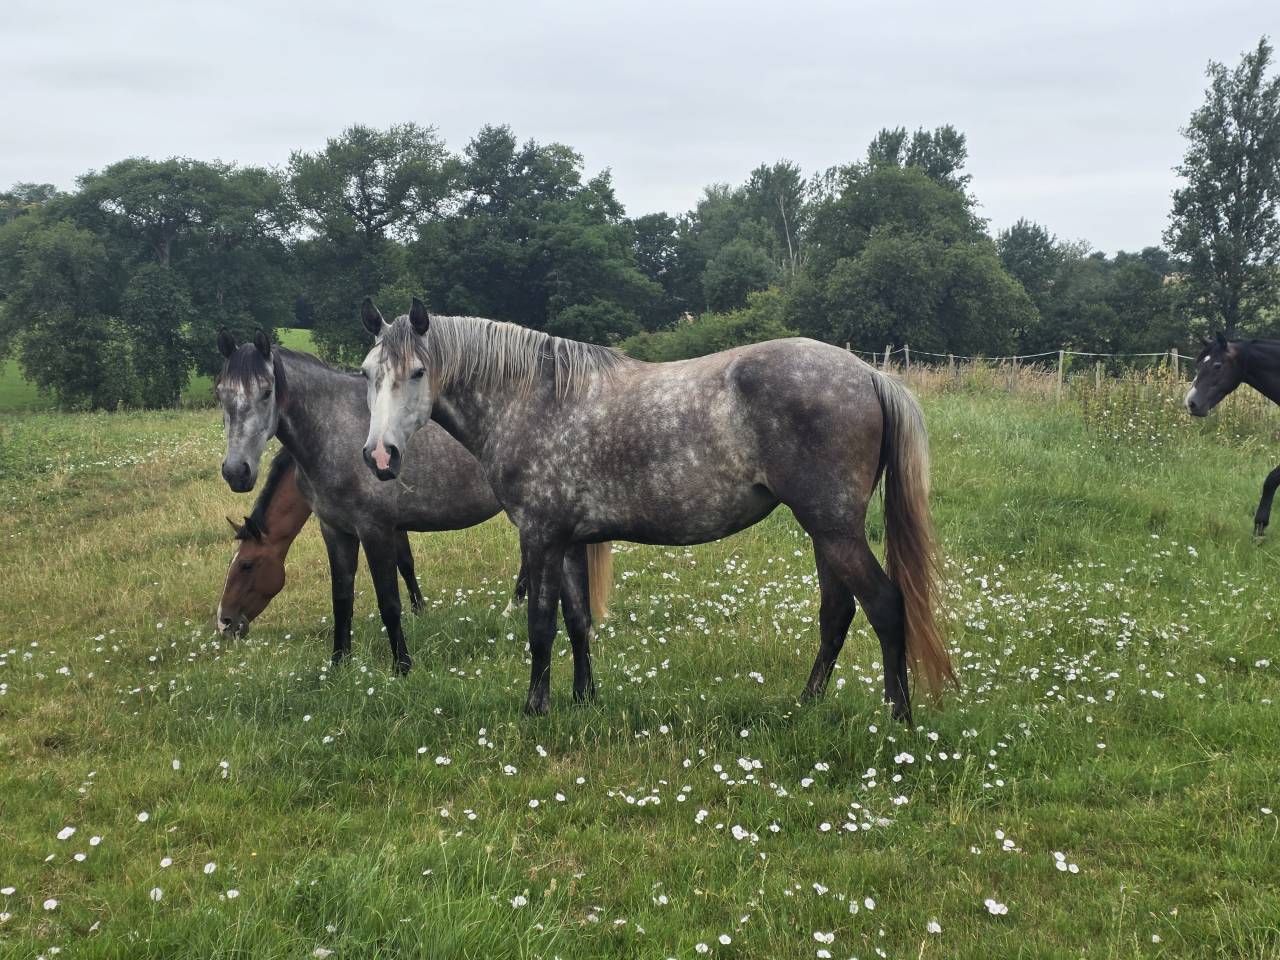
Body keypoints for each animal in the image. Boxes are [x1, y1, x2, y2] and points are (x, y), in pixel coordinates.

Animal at [214, 330, 564, 674]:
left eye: (247, 565)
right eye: (221, 395)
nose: (224, 622)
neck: (334, 429)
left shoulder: (376, 529)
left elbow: (389, 599)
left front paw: (403, 666)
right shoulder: (337, 530)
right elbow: (344, 598)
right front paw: (339, 663)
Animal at [357, 298, 954, 722]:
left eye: (417, 372)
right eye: (366, 373)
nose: (379, 457)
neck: (533, 398)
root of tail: (867, 374)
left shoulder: (540, 536)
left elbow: (541, 625)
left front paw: (535, 709)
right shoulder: (569, 540)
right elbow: (578, 621)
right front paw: (584, 700)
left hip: (833, 529)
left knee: (884, 605)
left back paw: (898, 718)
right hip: (827, 532)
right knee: (837, 613)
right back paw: (806, 705)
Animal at [1185, 333, 1280, 536]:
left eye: (1217, 365)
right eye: (1199, 365)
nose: (1191, 403)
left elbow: (1272, 479)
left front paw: (1259, 526)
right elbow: (1269, 480)